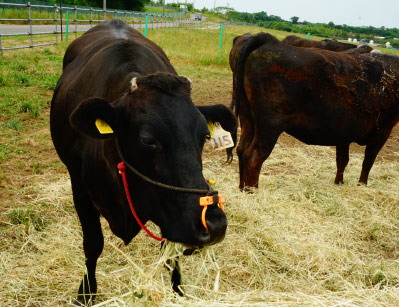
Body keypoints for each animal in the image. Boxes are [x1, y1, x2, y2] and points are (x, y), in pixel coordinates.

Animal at [51, 19, 236, 306]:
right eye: (148, 140)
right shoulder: (79, 188)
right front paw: (85, 293)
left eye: (204, 136)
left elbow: (171, 251)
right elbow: (92, 244)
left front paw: (178, 290)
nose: (214, 224)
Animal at [230, 31, 399, 190]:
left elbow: (342, 160)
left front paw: (339, 183)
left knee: (242, 149)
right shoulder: (383, 130)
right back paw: (252, 191)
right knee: (254, 156)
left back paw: (242, 189)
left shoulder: (345, 132)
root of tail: (269, 41)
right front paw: (362, 185)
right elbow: (368, 161)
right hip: (269, 126)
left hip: (247, 118)